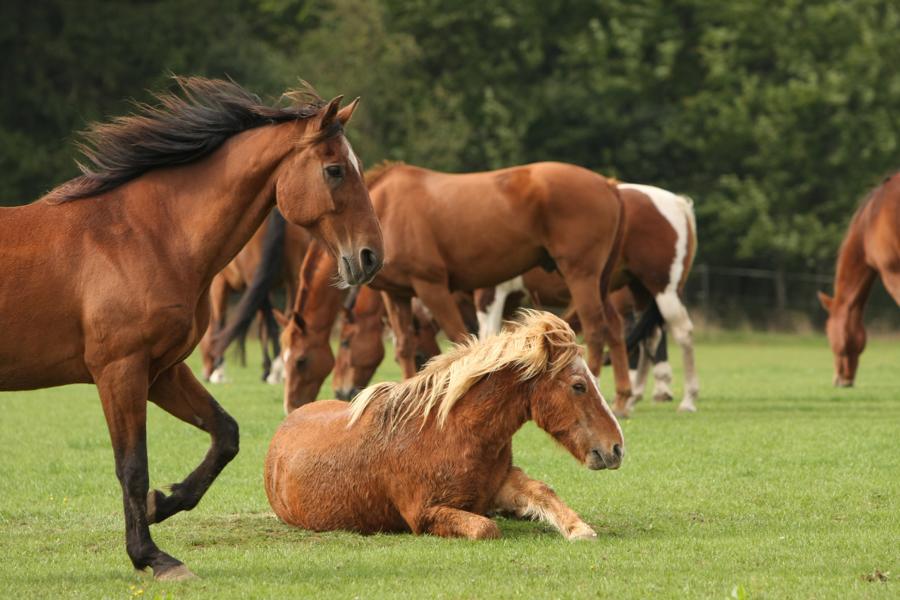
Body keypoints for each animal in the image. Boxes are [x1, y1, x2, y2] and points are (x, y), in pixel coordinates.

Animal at [0, 77, 384, 580]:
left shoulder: (161, 371)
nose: (372, 257)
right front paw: (152, 556)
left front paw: (163, 503)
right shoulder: (120, 370)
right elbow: (132, 466)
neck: (147, 235)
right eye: (335, 170)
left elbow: (225, 434)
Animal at [264, 310, 624, 540]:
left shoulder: (501, 483)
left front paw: (579, 530)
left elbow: (543, 491)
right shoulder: (424, 514)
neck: (452, 432)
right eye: (579, 385)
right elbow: (485, 528)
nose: (616, 448)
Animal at [362, 159, 628, 410]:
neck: (388, 207)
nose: (350, 390)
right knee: (614, 328)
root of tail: (608, 184)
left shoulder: (431, 287)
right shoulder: (396, 295)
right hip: (595, 282)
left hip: (581, 276)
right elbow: (404, 346)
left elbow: (459, 340)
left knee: (595, 329)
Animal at [474, 184, 700, 418]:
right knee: (651, 337)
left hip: (663, 289)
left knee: (682, 333)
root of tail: (678, 203)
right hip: (641, 291)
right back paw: (634, 397)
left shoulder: (490, 295)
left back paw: (687, 399)